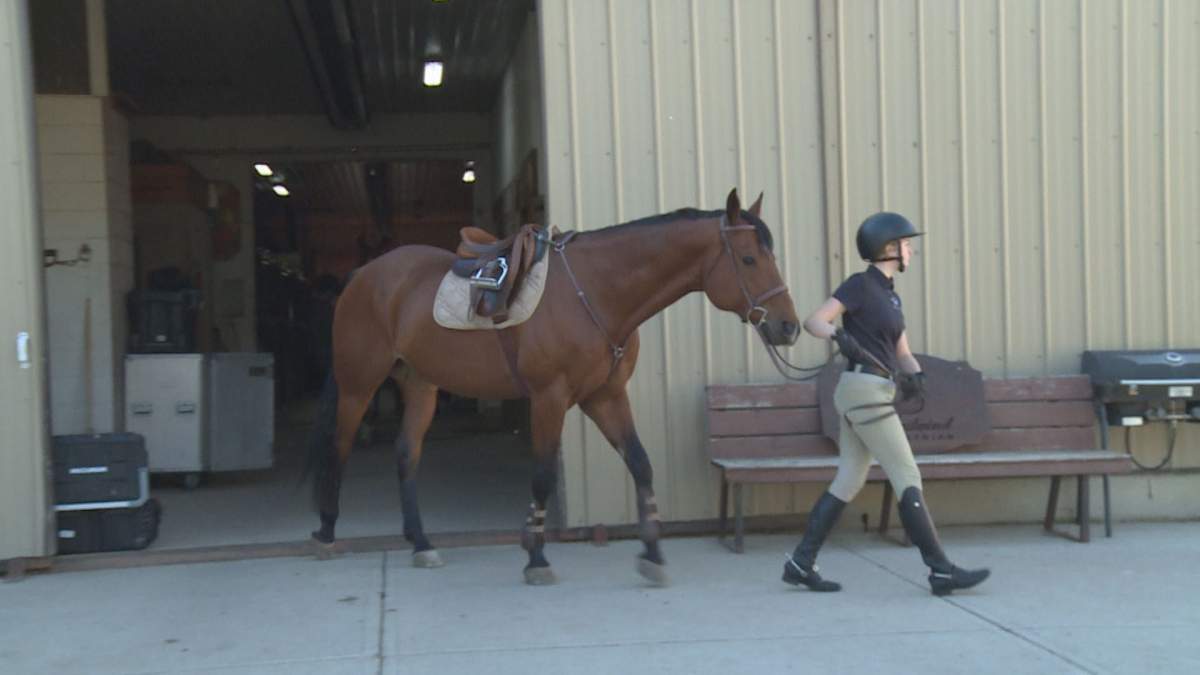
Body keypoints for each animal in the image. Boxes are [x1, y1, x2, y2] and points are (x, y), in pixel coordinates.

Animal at [308, 188, 800, 586]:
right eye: (749, 258)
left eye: (774, 256)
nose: (789, 326)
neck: (598, 291)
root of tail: (362, 275)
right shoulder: (550, 398)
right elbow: (543, 474)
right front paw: (537, 557)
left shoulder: (604, 396)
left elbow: (640, 463)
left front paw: (653, 553)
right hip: (358, 383)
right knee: (339, 446)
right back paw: (327, 533)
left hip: (421, 386)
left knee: (406, 454)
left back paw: (421, 543)